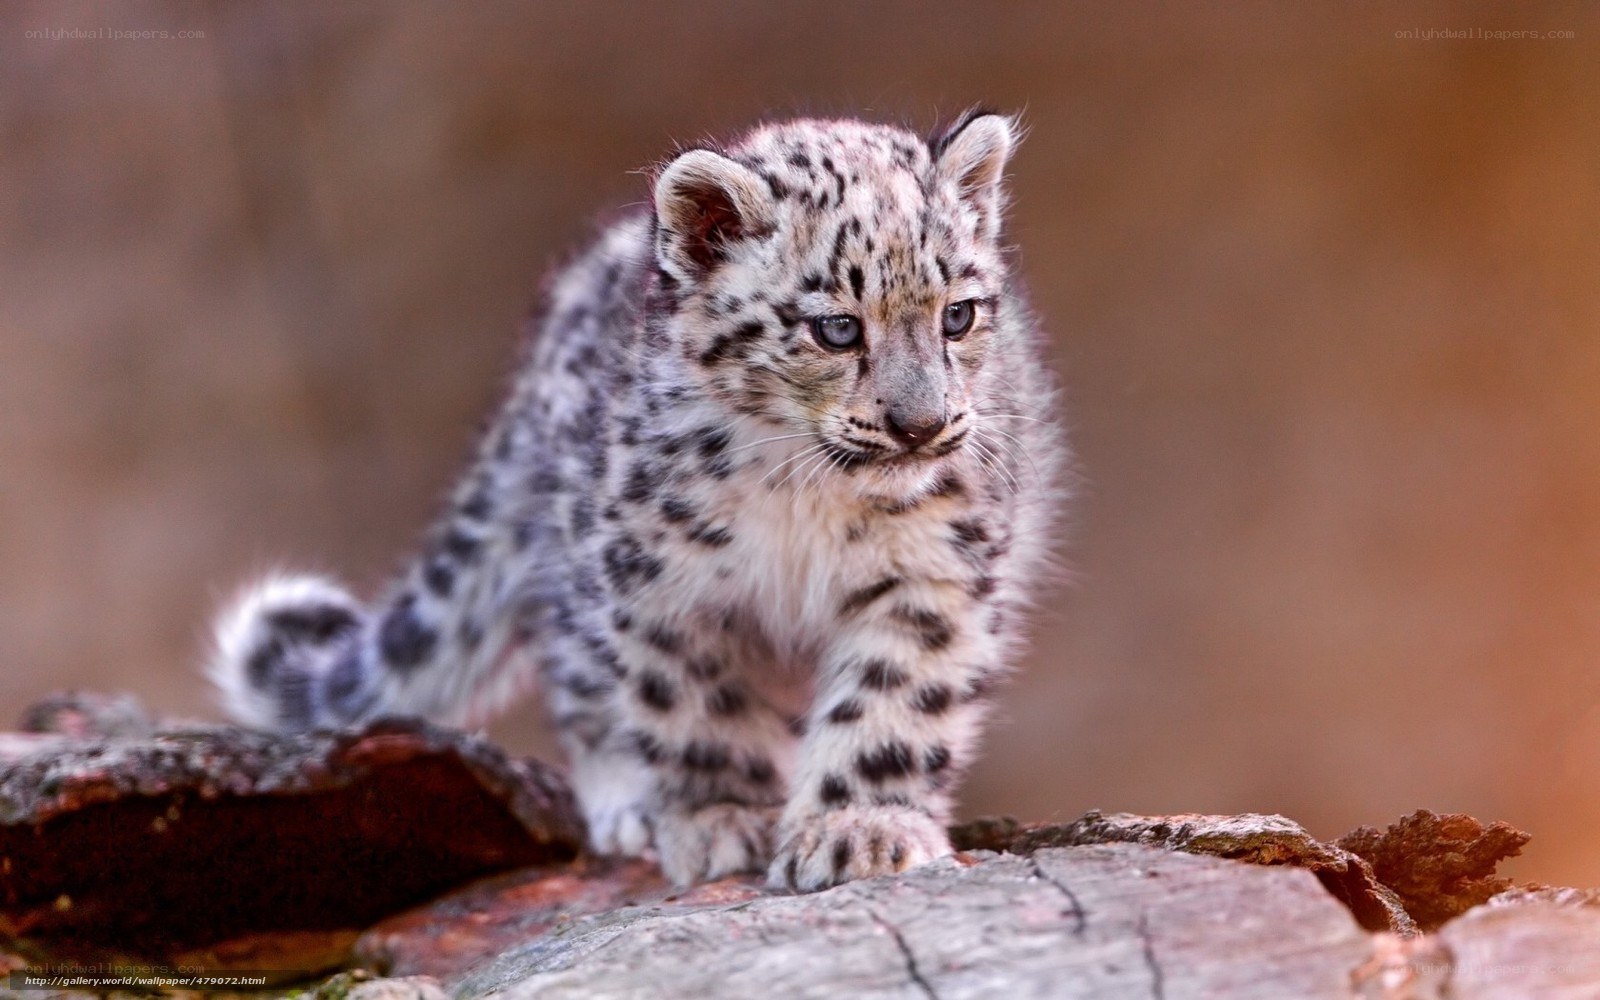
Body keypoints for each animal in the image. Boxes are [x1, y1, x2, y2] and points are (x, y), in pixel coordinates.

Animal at [209, 111, 1068, 892]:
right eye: (835, 328)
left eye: (957, 314)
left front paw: (857, 828)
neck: (806, 497)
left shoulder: (930, 576)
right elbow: (695, 707)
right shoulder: (664, 583)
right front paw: (725, 819)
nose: (921, 426)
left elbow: (891, 700)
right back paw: (629, 806)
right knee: (576, 673)